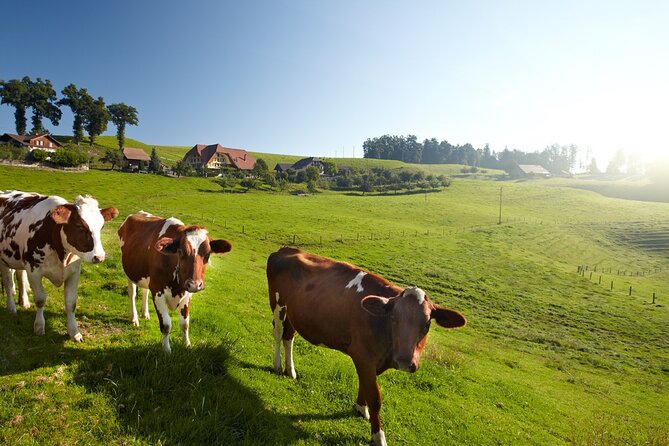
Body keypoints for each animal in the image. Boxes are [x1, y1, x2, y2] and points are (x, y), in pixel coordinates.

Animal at [0, 190, 118, 340]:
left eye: (101, 226)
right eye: (79, 226)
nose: (99, 257)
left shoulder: (74, 272)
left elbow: (71, 303)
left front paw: (74, 332)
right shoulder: (33, 271)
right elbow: (40, 299)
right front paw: (39, 327)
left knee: (20, 276)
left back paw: (24, 302)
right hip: (4, 260)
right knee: (8, 282)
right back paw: (11, 308)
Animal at [118, 211, 234, 354]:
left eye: (208, 254)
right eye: (182, 252)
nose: (195, 284)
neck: (178, 287)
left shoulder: (187, 294)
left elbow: (185, 323)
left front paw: (187, 345)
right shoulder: (157, 291)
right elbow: (166, 325)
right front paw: (166, 350)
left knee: (144, 291)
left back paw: (145, 314)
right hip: (129, 272)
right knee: (132, 294)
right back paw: (134, 319)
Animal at [266, 247, 464, 446]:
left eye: (427, 324)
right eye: (393, 318)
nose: (404, 361)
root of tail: (286, 248)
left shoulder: (368, 360)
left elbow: (365, 385)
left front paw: (360, 408)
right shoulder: (363, 355)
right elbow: (375, 398)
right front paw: (378, 436)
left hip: (295, 312)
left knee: (288, 337)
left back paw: (290, 370)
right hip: (278, 303)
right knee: (278, 333)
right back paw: (277, 365)